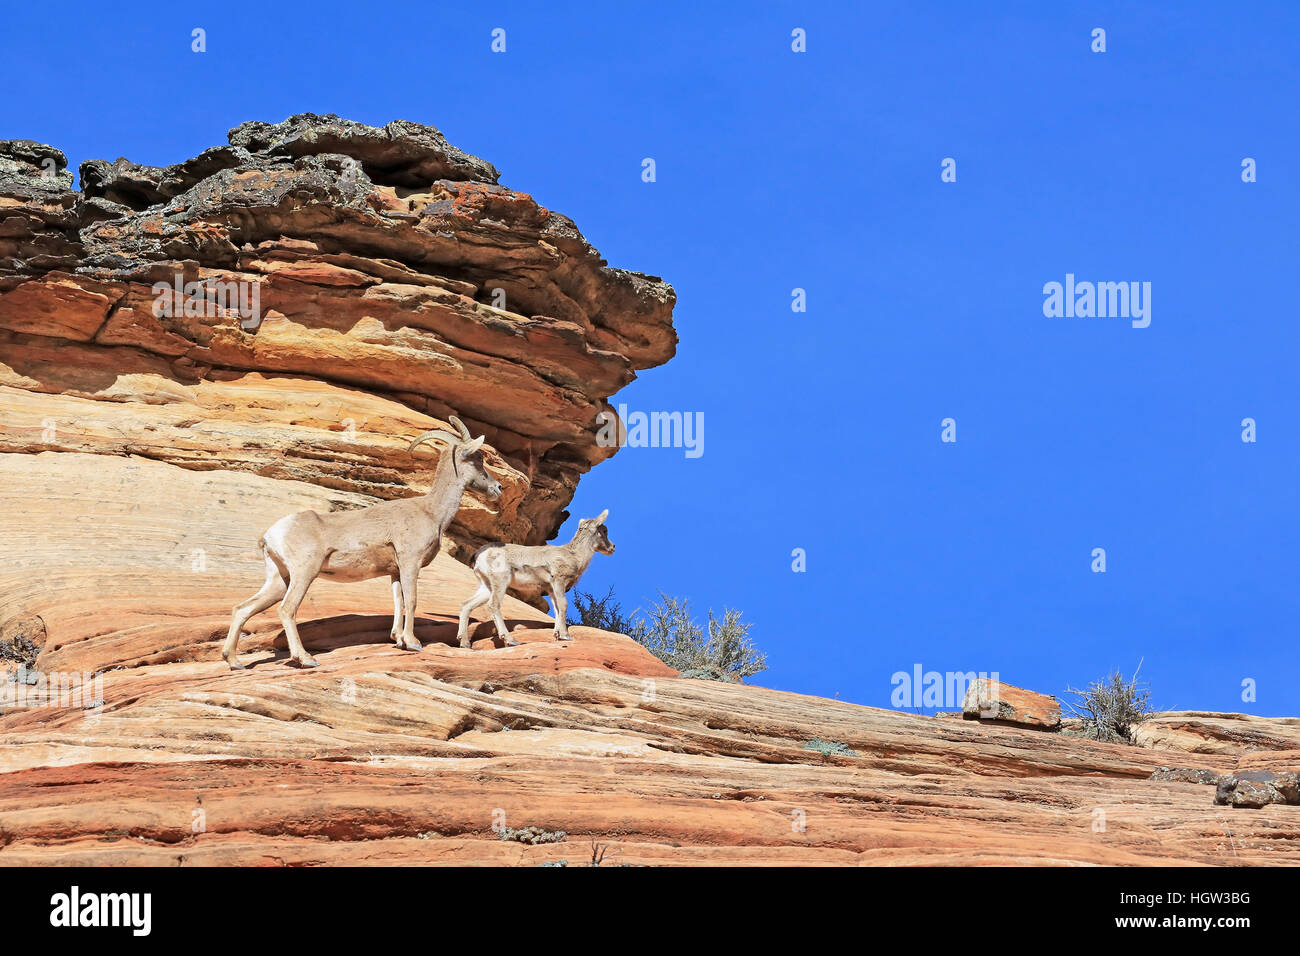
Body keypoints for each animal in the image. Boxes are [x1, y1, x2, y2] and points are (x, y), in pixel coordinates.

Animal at [220, 418, 499, 671]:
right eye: (478, 459)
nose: (497, 487)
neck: (431, 512)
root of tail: (271, 534)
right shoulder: (410, 562)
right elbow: (412, 601)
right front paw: (412, 643)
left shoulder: (395, 572)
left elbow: (398, 602)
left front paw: (399, 641)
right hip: (304, 574)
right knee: (287, 610)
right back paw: (306, 660)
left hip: (280, 579)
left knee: (242, 609)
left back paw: (235, 662)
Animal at [457, 509, 613, 650]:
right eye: (604, 531)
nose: (612, 547)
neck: (575, 556)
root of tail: (479, 555)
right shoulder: (558, 581)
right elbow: (563, 605)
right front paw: (565, 636)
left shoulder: (550, 589)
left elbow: (557, 609)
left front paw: (557, 634)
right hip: (501, 581)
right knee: (493, 605)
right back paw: (511, 640)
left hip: (486, 586)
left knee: (466, 604)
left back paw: (464, 643)